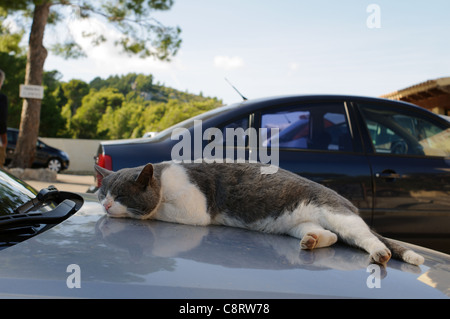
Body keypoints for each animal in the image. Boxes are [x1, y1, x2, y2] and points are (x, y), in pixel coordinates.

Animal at [95, 162, 426, 268]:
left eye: (120, 196)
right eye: (102, 194)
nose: (107, 206)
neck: (163, 180)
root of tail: (348, 203)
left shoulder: (194, 210)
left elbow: (155, 212)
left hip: (340, 215)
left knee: (367, 237)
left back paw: (380, 253)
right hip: (296, 223)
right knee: (330, 236)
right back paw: (312, 240)